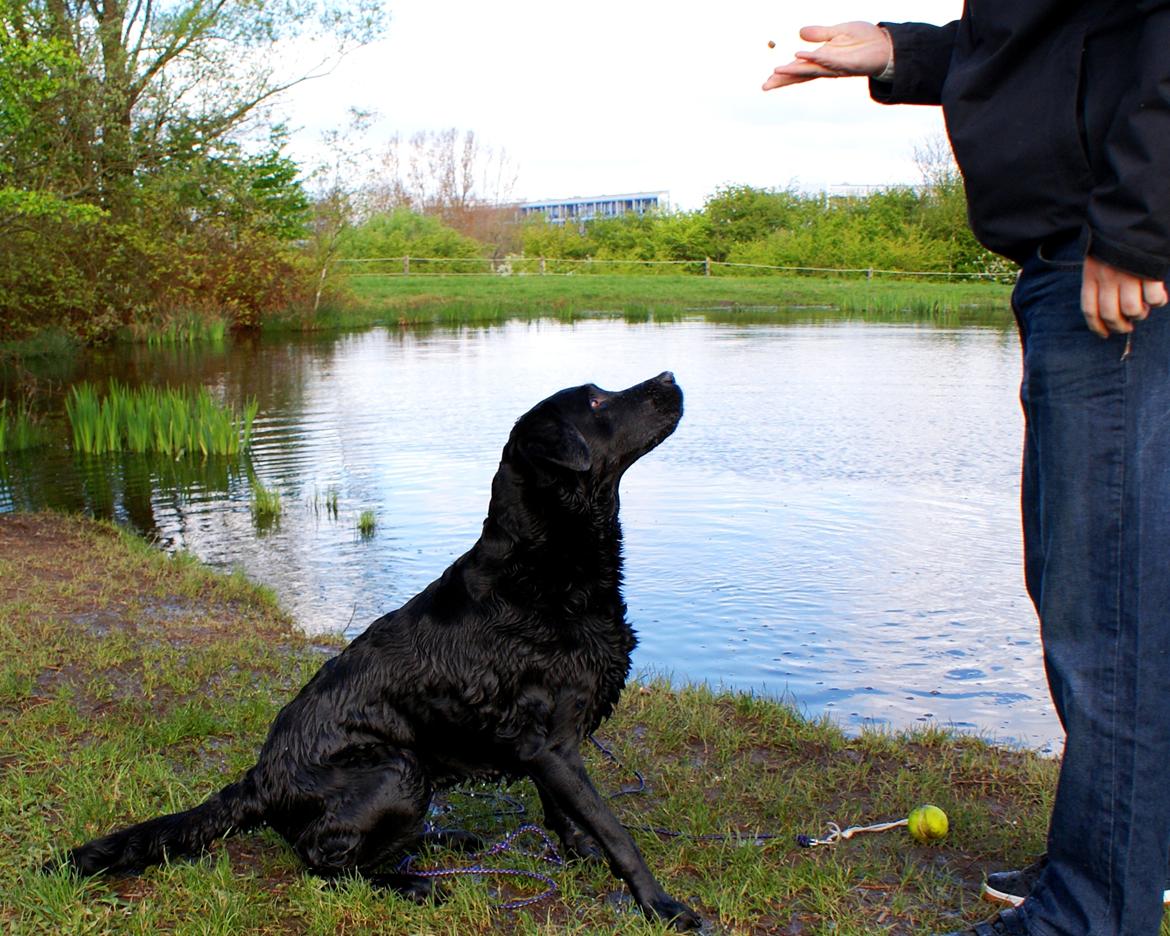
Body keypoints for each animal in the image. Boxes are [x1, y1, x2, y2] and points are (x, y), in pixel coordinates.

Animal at [57, 372, 692, 926]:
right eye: (596, 402)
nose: (668, 376)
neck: (543, 571)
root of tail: (261, 779)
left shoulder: (546, 747)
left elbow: (564, 813)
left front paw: (581, 857)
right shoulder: (554, 744)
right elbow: (616, 830)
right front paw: (661, 906)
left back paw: (445, 839)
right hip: (397, 771)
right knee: (325, 864)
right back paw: (411, 884)